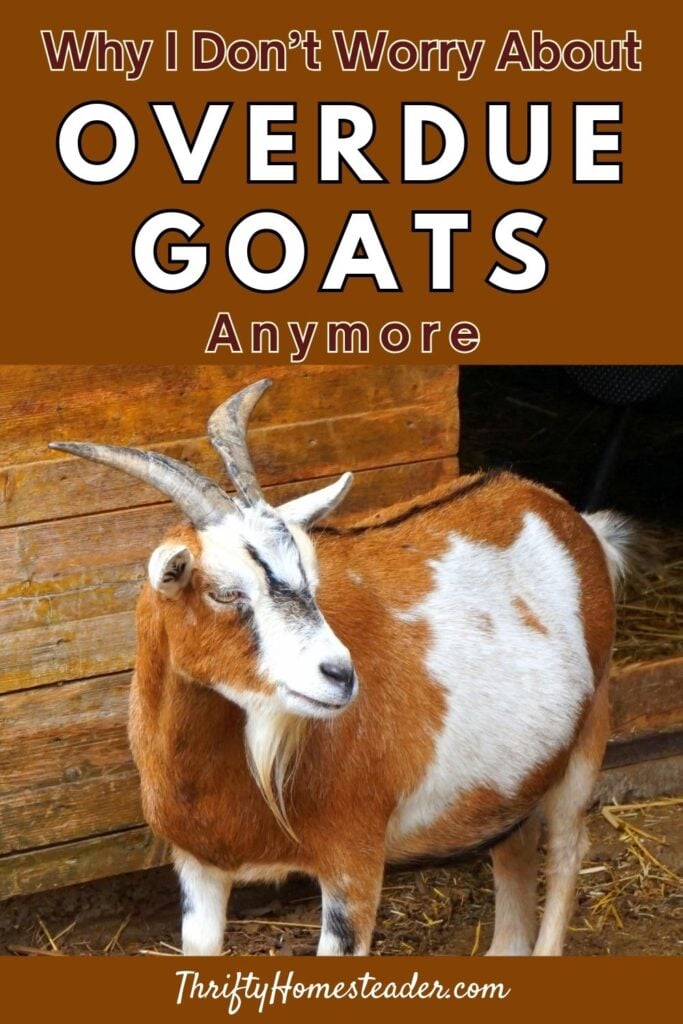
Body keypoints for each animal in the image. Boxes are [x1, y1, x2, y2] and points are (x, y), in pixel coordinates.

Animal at [49, 378, 634, 956]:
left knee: (567, 850)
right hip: (515, 776)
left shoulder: (353, 862)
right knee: (516, 845)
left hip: (589, 734)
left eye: (309, 573)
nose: (340, 675)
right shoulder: (199, 868)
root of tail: (566, 515)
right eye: (224, 592)